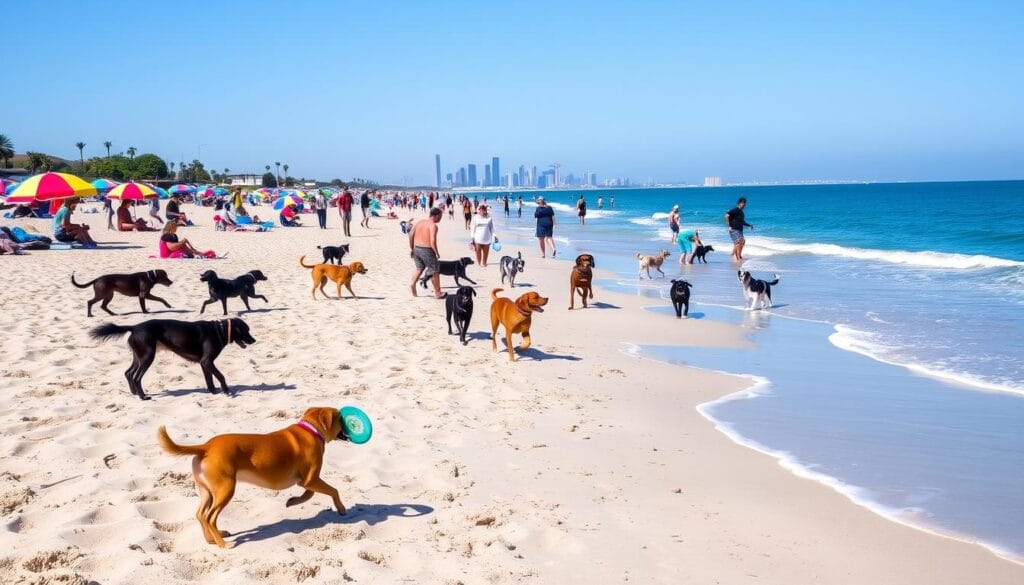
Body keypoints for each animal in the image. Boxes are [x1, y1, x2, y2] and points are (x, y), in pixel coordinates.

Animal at [89, 317, 256, 401]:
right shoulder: (207, 361)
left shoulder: (204, 363)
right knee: (136, 377)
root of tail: (134, 327)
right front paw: (227, 391)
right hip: (147, 356)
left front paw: (214, 392)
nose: (254, 340)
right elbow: (221, 376)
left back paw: (134, 393)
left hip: (139, 356)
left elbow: (209, 379)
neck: (220, 330)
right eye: (246, 330)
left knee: (128, 373)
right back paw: (143, 397)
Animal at [157, 407, 350, 549]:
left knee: (201, 515)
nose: (350, 425)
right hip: (226, 489)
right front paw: (341, 508)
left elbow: (309, 494)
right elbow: (332, 491)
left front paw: (293, 501)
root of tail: (206, 447)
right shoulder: (310, 479)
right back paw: (223, 544)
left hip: (207, 492)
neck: (311, 430)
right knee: (210, 517)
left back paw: (212, 539)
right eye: (340, 418)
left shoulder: (308, 481)